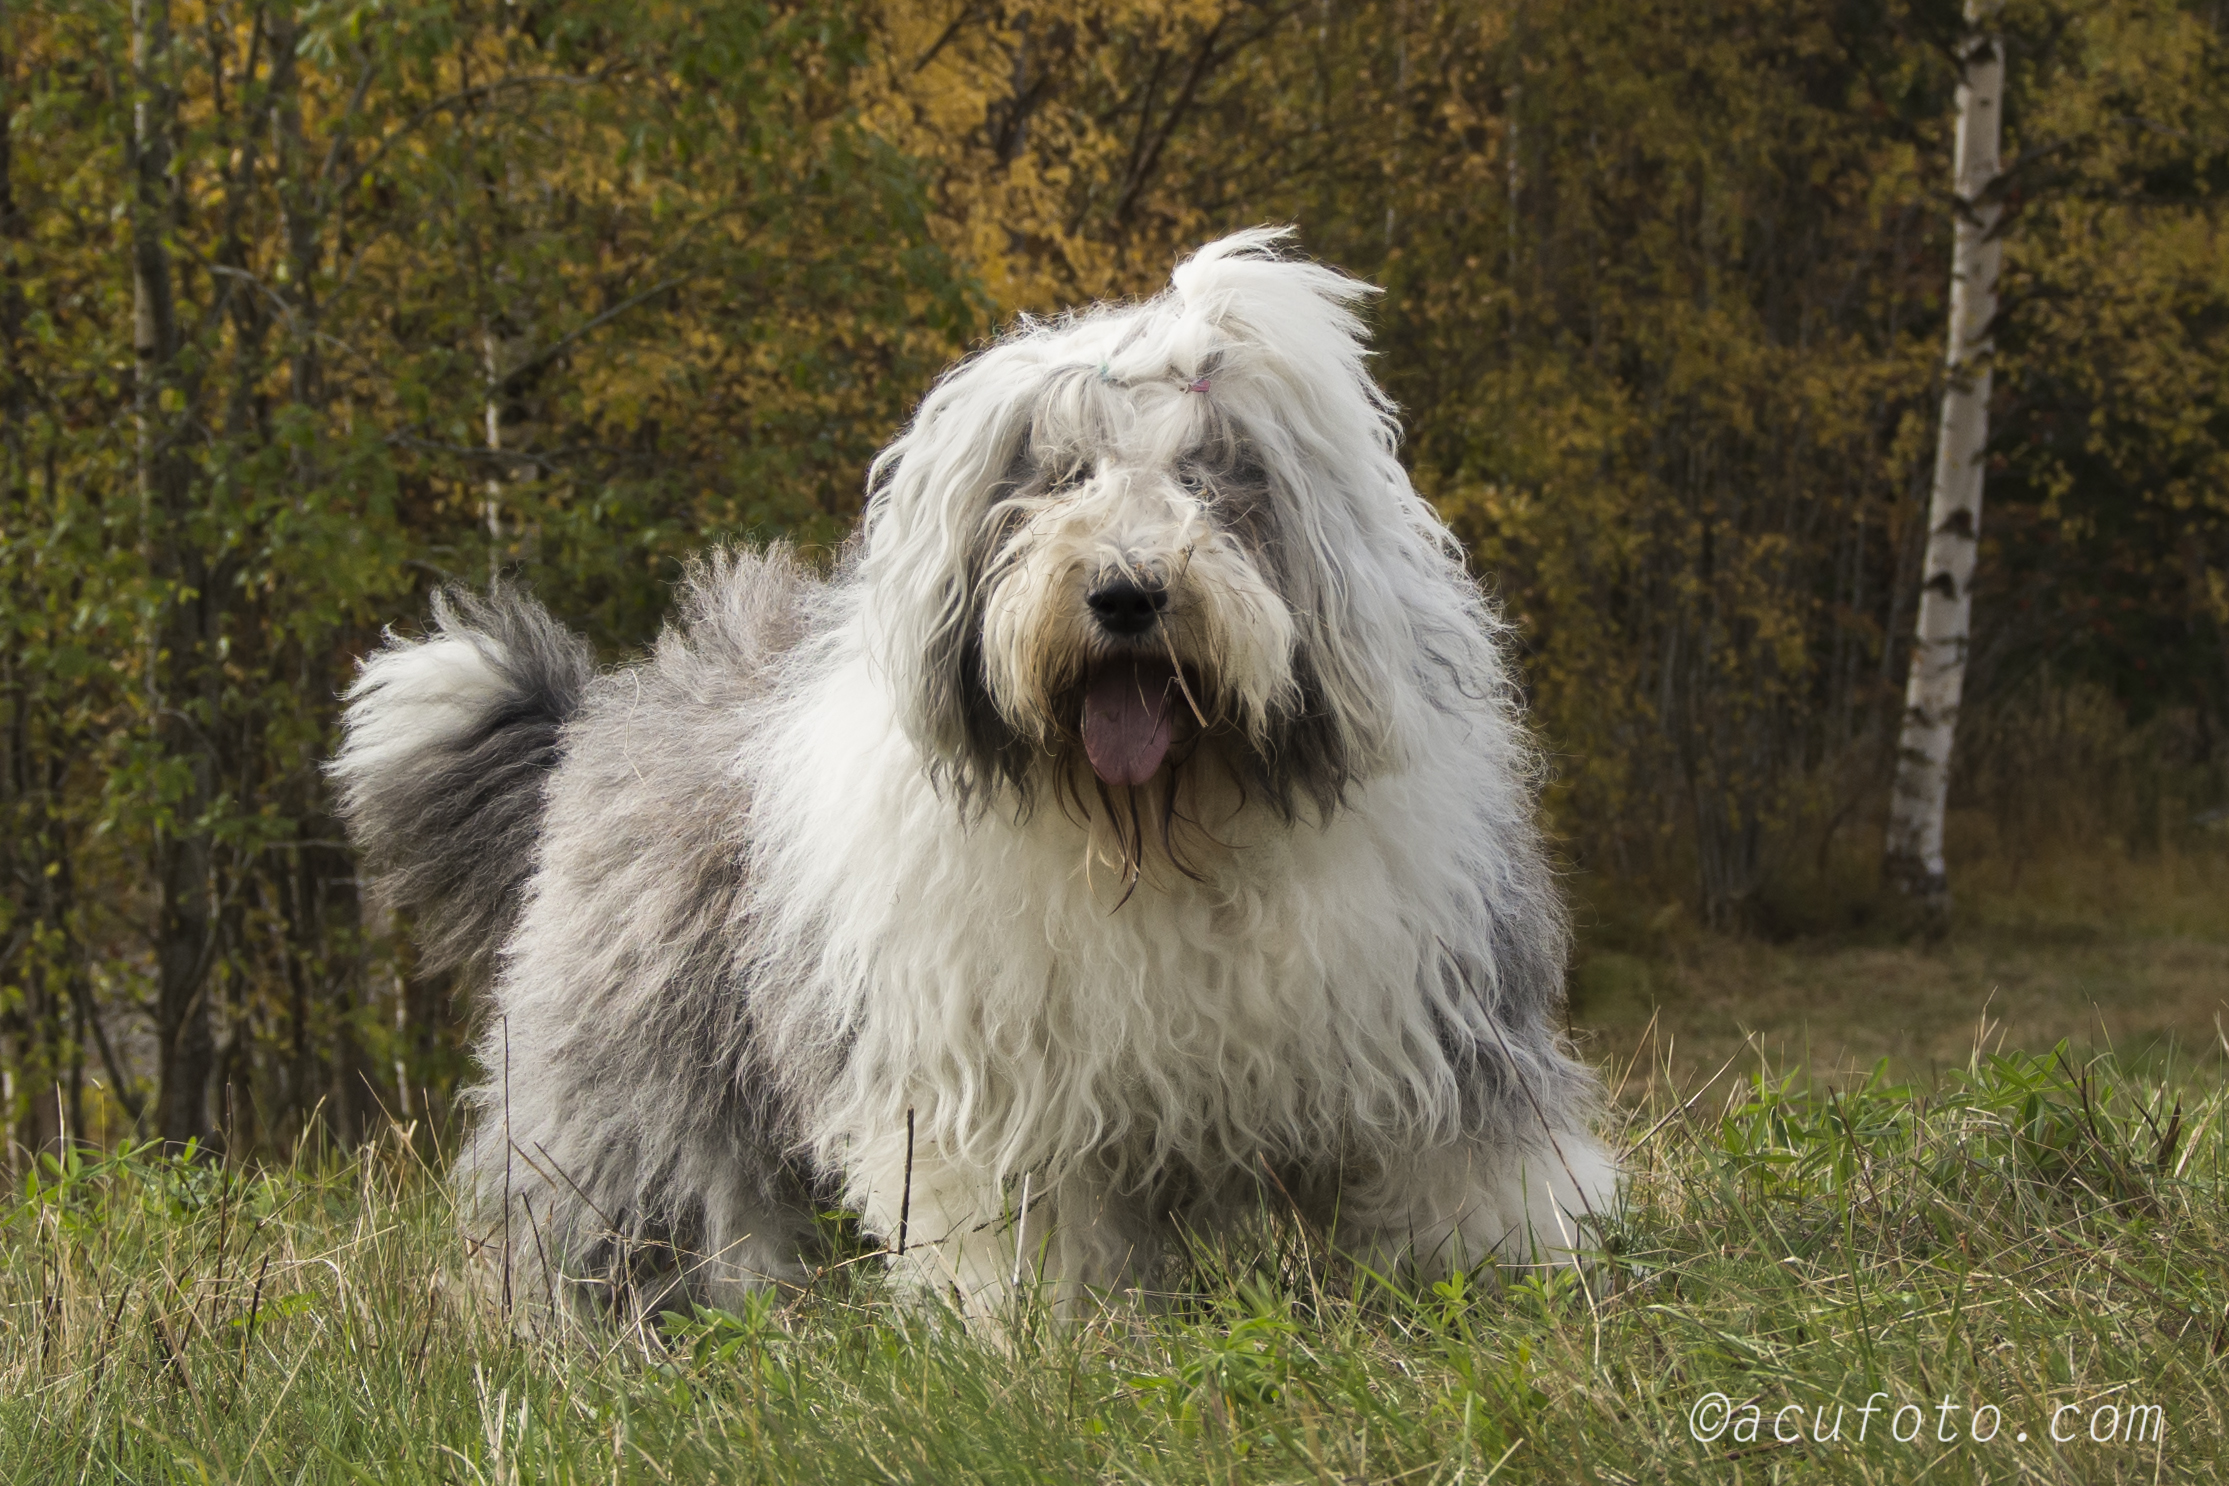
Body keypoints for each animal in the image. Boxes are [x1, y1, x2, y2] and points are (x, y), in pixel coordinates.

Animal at [331, 229, 1615, 1321]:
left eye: (1214, 479)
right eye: (1057, 478)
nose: (1128, 593)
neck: (1162, 829)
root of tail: (605, 712)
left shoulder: (1435, 1014)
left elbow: (1465, 1164)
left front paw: (1514, 1282)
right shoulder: (986, 1085)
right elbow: (1021, 1227)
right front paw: (1041, 1340)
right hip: (634, 1076)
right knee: (616, 1206)